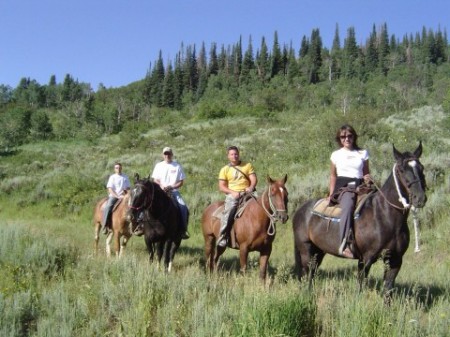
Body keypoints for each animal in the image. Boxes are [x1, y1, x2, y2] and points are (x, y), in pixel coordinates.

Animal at [294, 143, 428, 300]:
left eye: (421, 167)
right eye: (401, 170)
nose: (420, 198)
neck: (384, 216)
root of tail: (300, 209)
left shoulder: (395, 260)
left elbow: (387, 290)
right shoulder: (365, 259)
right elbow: (360, 287)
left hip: (319, 251)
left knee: (312, 274)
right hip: (306, 250)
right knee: (307, 275)